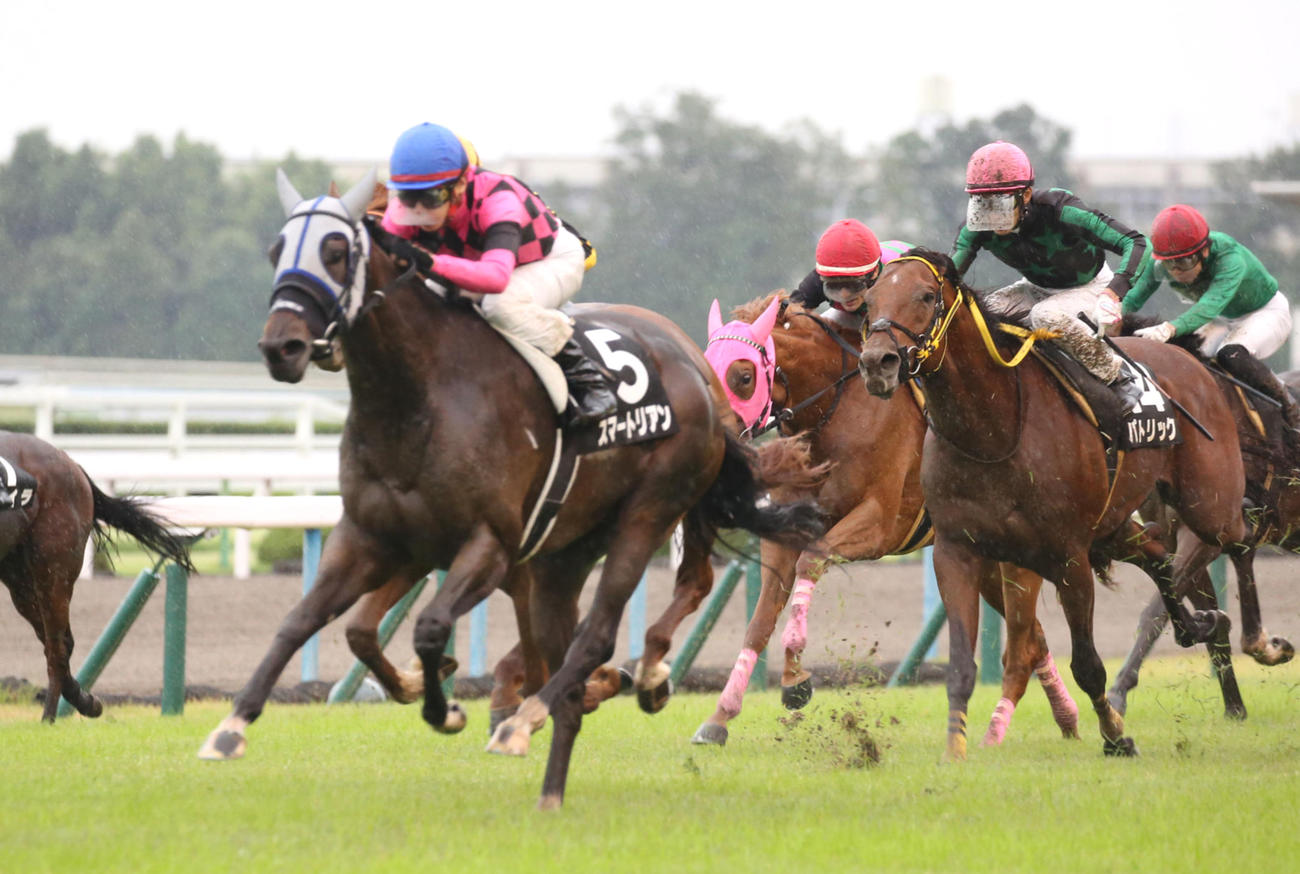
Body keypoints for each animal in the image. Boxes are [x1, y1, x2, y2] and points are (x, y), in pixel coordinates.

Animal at [0, 432, 194, 722]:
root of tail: (72, 464)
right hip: (20, 582)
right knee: (58, 643)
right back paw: (85, 701)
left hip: (53, 570)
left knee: (57, 647)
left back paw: (51, 717)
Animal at [196, 170, 823, 810]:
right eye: (276, 251)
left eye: (336, 251)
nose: (283, 347)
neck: (419, 397)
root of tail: (693, 366)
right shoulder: (378, 537)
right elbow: (313, 622)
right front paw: (232, 725)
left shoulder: (491, 545)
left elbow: (429, 627)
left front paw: (455, 706)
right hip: (571, 550)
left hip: (648, 513)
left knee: (618, 620)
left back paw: (563, 706)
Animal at [689, 292, 1081, 753]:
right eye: (707, 369)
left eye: (744, 376)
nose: (714, 440)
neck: (834, 412)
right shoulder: (783, 534)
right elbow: (759, 621)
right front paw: (719, 717)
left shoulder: (878, 525)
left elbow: (811, 562)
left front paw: (794, 678)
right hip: (979, 558)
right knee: (1034, 637)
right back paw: (1067, 717)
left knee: (1029, 632)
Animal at [857, 249, 1250, 756]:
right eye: (868, 301)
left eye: (926, 296)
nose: (877, 363)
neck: (995, 428)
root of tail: (1186, 357)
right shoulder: (956, 551)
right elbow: (962, 666)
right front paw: (954, 752)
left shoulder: (1068, 557)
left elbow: (1088, 666)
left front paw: (1115, 737)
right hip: (1112, 523)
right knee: (1158, 554)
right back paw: (1196, 624)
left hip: (1209, 504)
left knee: (1232, 537)